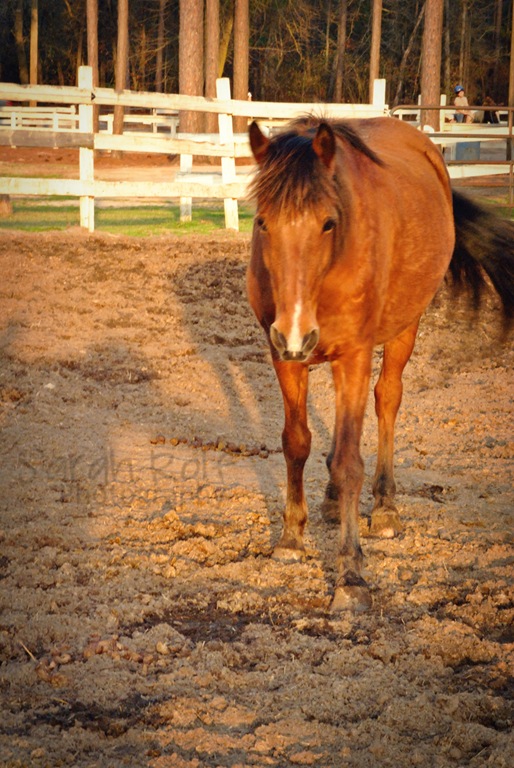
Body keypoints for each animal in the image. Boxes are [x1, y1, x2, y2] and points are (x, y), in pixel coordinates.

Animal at [246, 116, 514, 612]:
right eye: (262, 222)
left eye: (328, 223)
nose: (295, 330)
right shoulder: (283, 354)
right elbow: (296, 443)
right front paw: (291, 537)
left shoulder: (353, 354)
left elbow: (351, 462)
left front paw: (351, 574)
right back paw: (333, 502)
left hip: (403, 330)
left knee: (387, 400)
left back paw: (386, 507)